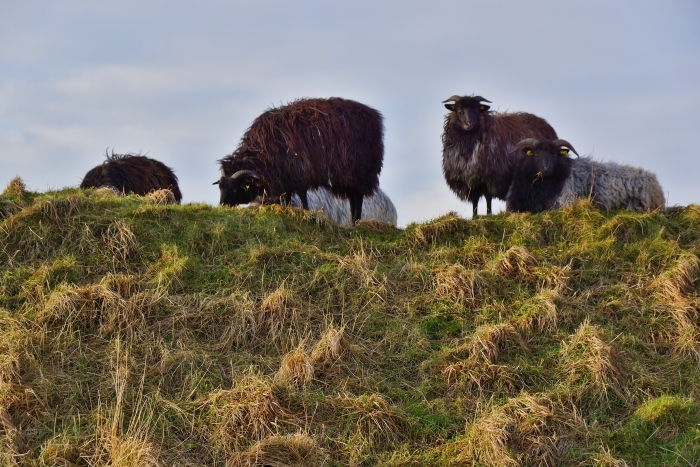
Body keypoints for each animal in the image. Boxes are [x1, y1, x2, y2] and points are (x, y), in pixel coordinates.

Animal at [216, 96, 386, 224]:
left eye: (234, 189)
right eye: (220, 187)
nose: (221, 207)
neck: (262, 155)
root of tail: (374, 116)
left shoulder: (300, 172)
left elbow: (302, 197)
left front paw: (306, 213)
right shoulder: (286, 176)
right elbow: (286, 198)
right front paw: (287, 210)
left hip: (361, 173)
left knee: (358, 199)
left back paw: (356, 222)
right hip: (350, 178)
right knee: (352, 199)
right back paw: (353, 222)